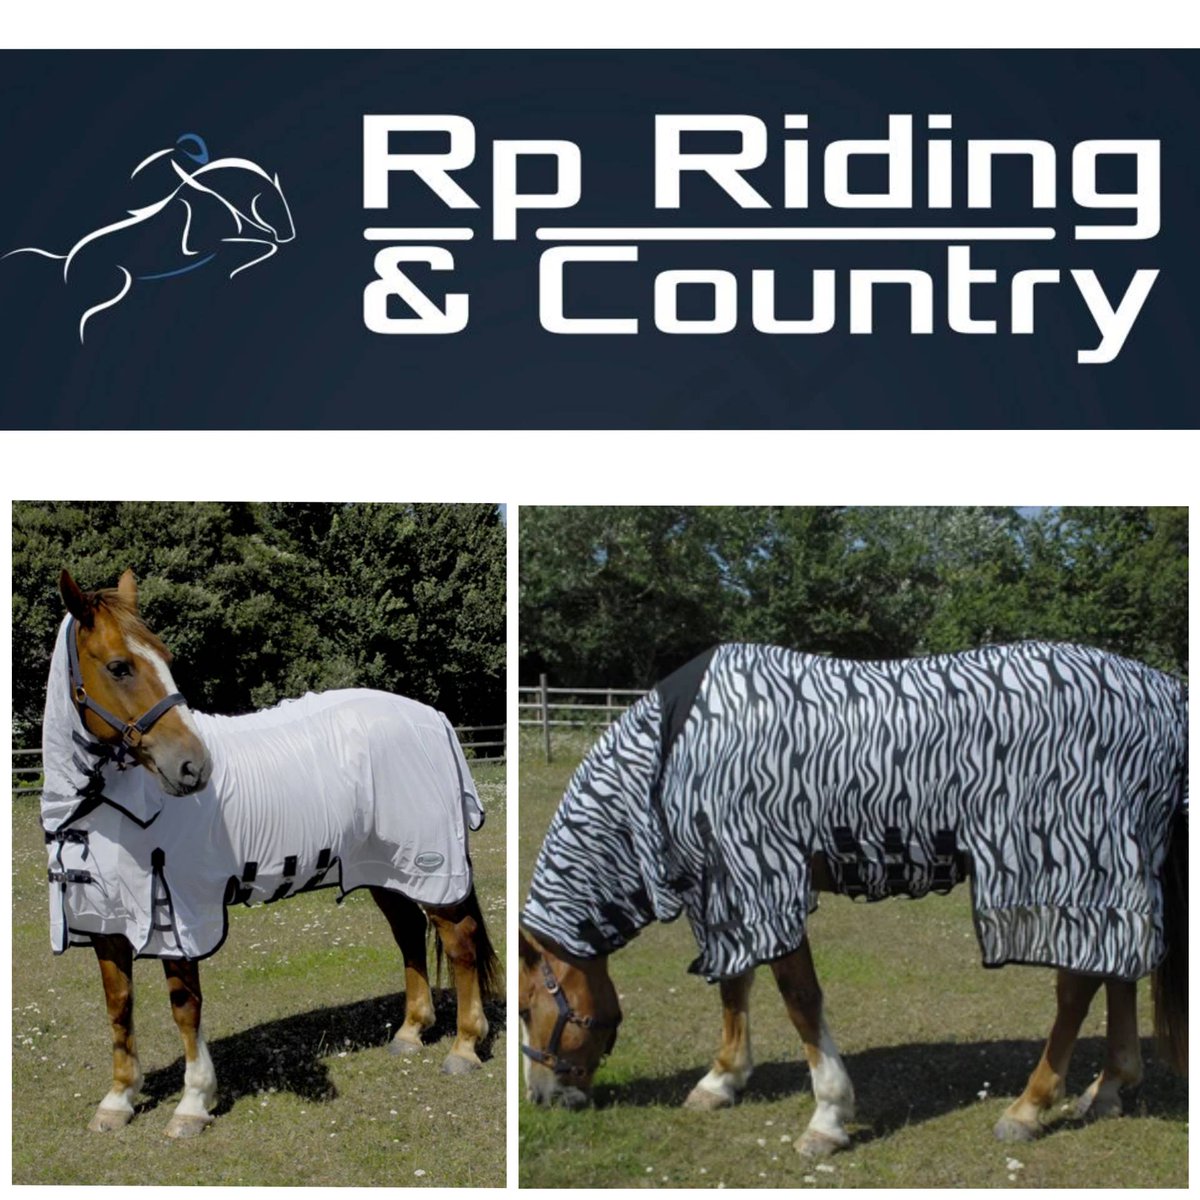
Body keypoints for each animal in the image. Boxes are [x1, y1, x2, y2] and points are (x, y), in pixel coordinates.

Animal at [5, 133, 295, 341]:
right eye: (269, 202)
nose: (289, 236)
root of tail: (66, 258)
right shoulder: (201, 247)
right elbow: (257, 245)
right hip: (114, 286)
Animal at [42, 569, 497, 1139]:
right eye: (119, 666)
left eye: (165, 659)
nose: (194, 766)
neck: (108, 807)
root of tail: (433, 718)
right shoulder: (103, 919)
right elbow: (118, 1006)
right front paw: (119, 1098)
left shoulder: (180, 914)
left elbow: (184, 1007)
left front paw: (193, 1103)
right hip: (382, 869)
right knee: (409, 933)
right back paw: (411, 1032)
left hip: (429, 867)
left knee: (459, 941)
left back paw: (464, 1046)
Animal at [519, 642, 1187, 1154]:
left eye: (527, 1010)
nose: (544, 1098)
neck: (673, 752)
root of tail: (1163, 693)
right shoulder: (730, 890)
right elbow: (736, 985)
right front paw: (722, 1080)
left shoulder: (762, 879)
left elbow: (799, 999)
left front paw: (828, 1117)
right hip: (1115, 871)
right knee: (1118, 971)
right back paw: (1107, 1090)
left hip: (1071, 870)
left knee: (1078, 986)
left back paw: (1029, 1107)